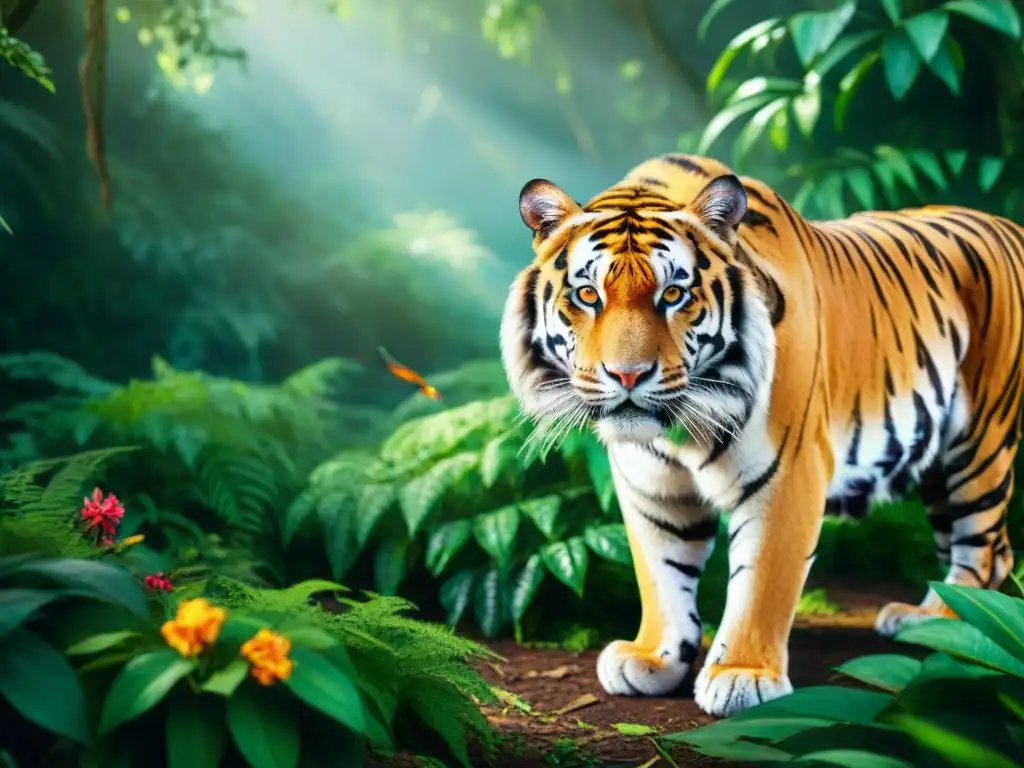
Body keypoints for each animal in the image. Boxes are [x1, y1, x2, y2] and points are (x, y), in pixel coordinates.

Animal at [499, 153, 1022, 718]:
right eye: (588, 295)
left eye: (673, 294)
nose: (627, 375)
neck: (678, 431)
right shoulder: (649, 487)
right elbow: (660, 571)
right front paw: (655, 656)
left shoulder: (789, 473)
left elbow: (762, 581)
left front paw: (742, 675)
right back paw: (926, 618)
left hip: (977, 443)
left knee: (985, 548)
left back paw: (950, 630)